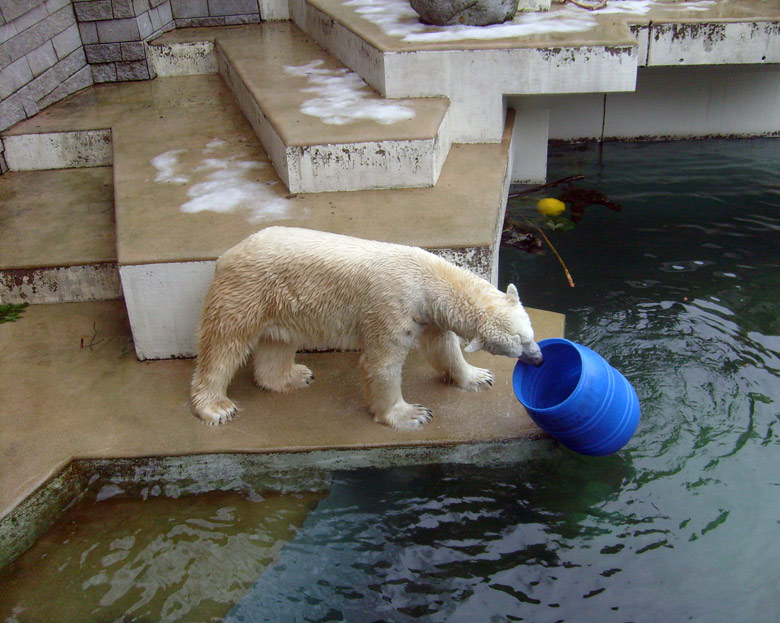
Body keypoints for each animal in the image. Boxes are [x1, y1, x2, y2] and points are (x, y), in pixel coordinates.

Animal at [190, 228, 544, 428]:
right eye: (519, 344)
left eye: (530, 335)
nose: (540, 359)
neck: (426, 278)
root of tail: (227, 255)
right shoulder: (392, 308)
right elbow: (381, 364)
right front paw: (410, 414)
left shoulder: (427, 315)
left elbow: (443, 348)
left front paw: (476, 376)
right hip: (246, 291)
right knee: (223, 345)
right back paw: (215, 407)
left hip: (281, 300)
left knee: (278, 341)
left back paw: (292, 376)